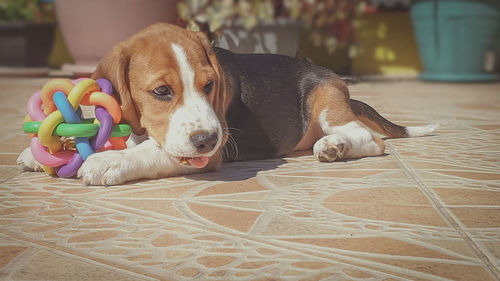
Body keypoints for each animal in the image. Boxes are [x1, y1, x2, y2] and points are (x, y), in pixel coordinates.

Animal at [17, 23, 436, 185]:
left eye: (209, 84)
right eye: (161, 91)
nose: (206, 140)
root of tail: (326, 73)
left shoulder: (206, 155)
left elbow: (150, 152)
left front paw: (109, 161)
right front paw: (43, 153)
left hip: (325, 102)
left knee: (369, 138)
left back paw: (335, 146)